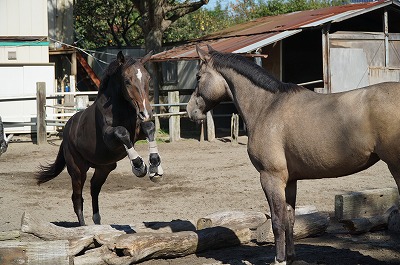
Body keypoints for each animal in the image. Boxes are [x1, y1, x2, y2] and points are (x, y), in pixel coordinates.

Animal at [36, 51, 163, 225]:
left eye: (148, 78)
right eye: (127, 80)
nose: (146, 112)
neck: (121, 108)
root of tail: (66, 134)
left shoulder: (138, 132)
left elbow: (150, 128)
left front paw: (155, 166)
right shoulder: (110, 139)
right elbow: (122, 132)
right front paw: (139, 165)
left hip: (104, 168)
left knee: (94, 189)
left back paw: (97, 221)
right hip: (77, 170)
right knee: (77, 199)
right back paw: (83, 227)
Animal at [188, 45, 400, 264]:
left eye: (198, 76)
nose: (190, 110)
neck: (266, 106)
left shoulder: (271, 178)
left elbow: (277, 221)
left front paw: (279, 259)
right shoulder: (290, 181)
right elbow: (290, 218)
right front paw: (290, 257)